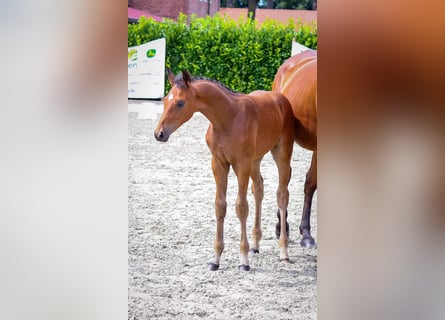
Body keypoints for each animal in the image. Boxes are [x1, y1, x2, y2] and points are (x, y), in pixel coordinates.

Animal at [153, 69, 294, 270]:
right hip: (255, 160)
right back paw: (256, 245)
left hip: (281, 153)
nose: (159, 134)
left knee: (281, 195)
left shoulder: (241, 164)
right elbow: (220, 206)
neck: (228, 119)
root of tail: (280, 99)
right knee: (259, 189)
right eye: (165, 100)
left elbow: (241, 207)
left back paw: (283, 251)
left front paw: (243, 260)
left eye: (180, 102)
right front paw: (216, 259)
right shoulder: (218, 163)